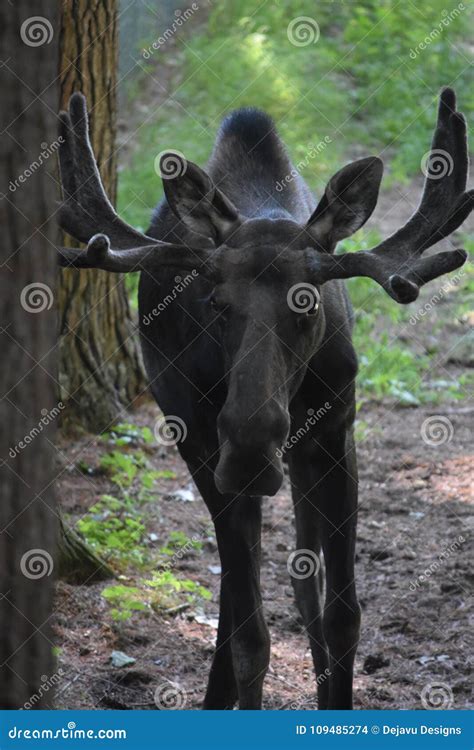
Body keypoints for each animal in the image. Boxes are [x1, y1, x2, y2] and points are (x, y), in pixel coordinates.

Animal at [58, 89, 470, 712]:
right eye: (216, 302)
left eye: (308, 302)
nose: (252, 448)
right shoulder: (205, 442)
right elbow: (252, 635)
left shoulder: (336, 430)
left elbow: (342, 614)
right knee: (235, 595)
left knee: (298, 581)